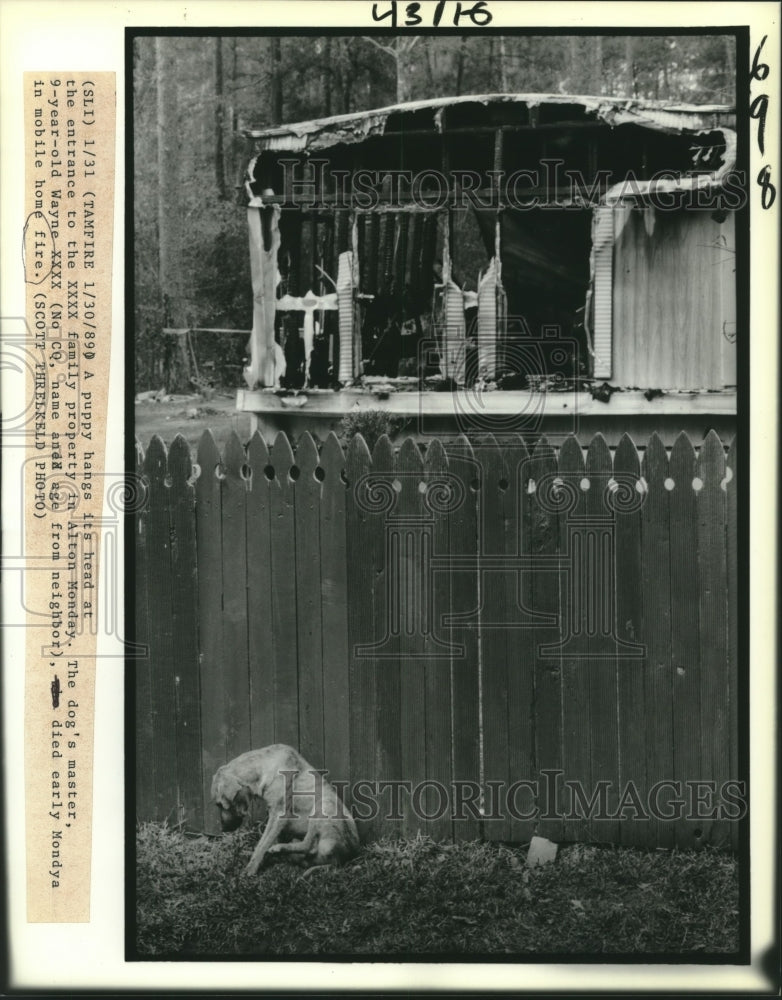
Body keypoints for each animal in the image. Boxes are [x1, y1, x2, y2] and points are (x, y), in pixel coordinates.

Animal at [210, 744, 360, 876]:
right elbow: (268, 840)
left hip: (324, 805)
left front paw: (251, 867)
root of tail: (342, 860)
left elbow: (262, 844)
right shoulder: (272, 813)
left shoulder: (278, 813)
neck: (261, 768)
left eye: (220, 804)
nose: (223, 829)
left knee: (308, 844)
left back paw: (279, 849)